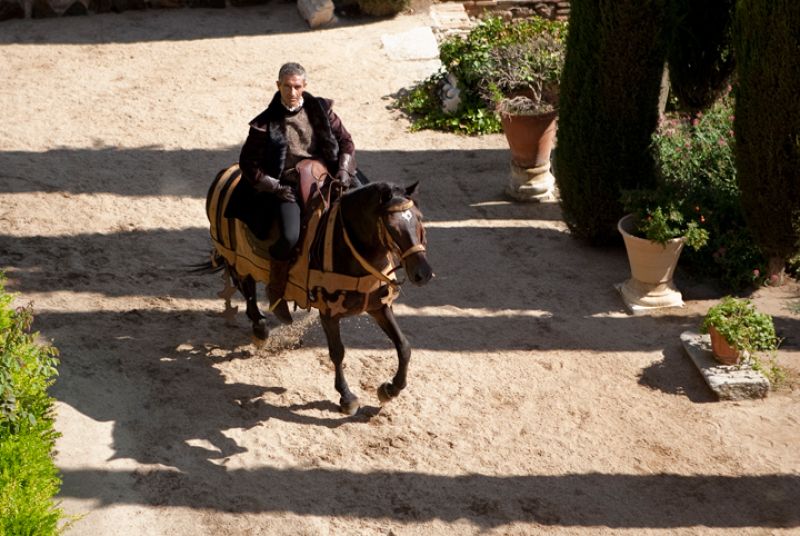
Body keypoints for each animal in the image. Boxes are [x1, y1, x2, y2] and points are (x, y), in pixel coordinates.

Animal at [205, 164, 432, 414]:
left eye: (419, 219)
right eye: (392, 226)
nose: (423, 273)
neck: (349, 246)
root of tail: (227, 171)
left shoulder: (378, 306)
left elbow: (404, 346)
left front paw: (389, 390)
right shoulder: (329, 313)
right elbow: (337, 352)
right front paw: (347, 397)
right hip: (237, 258)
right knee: (247, 288)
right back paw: (261, 329)